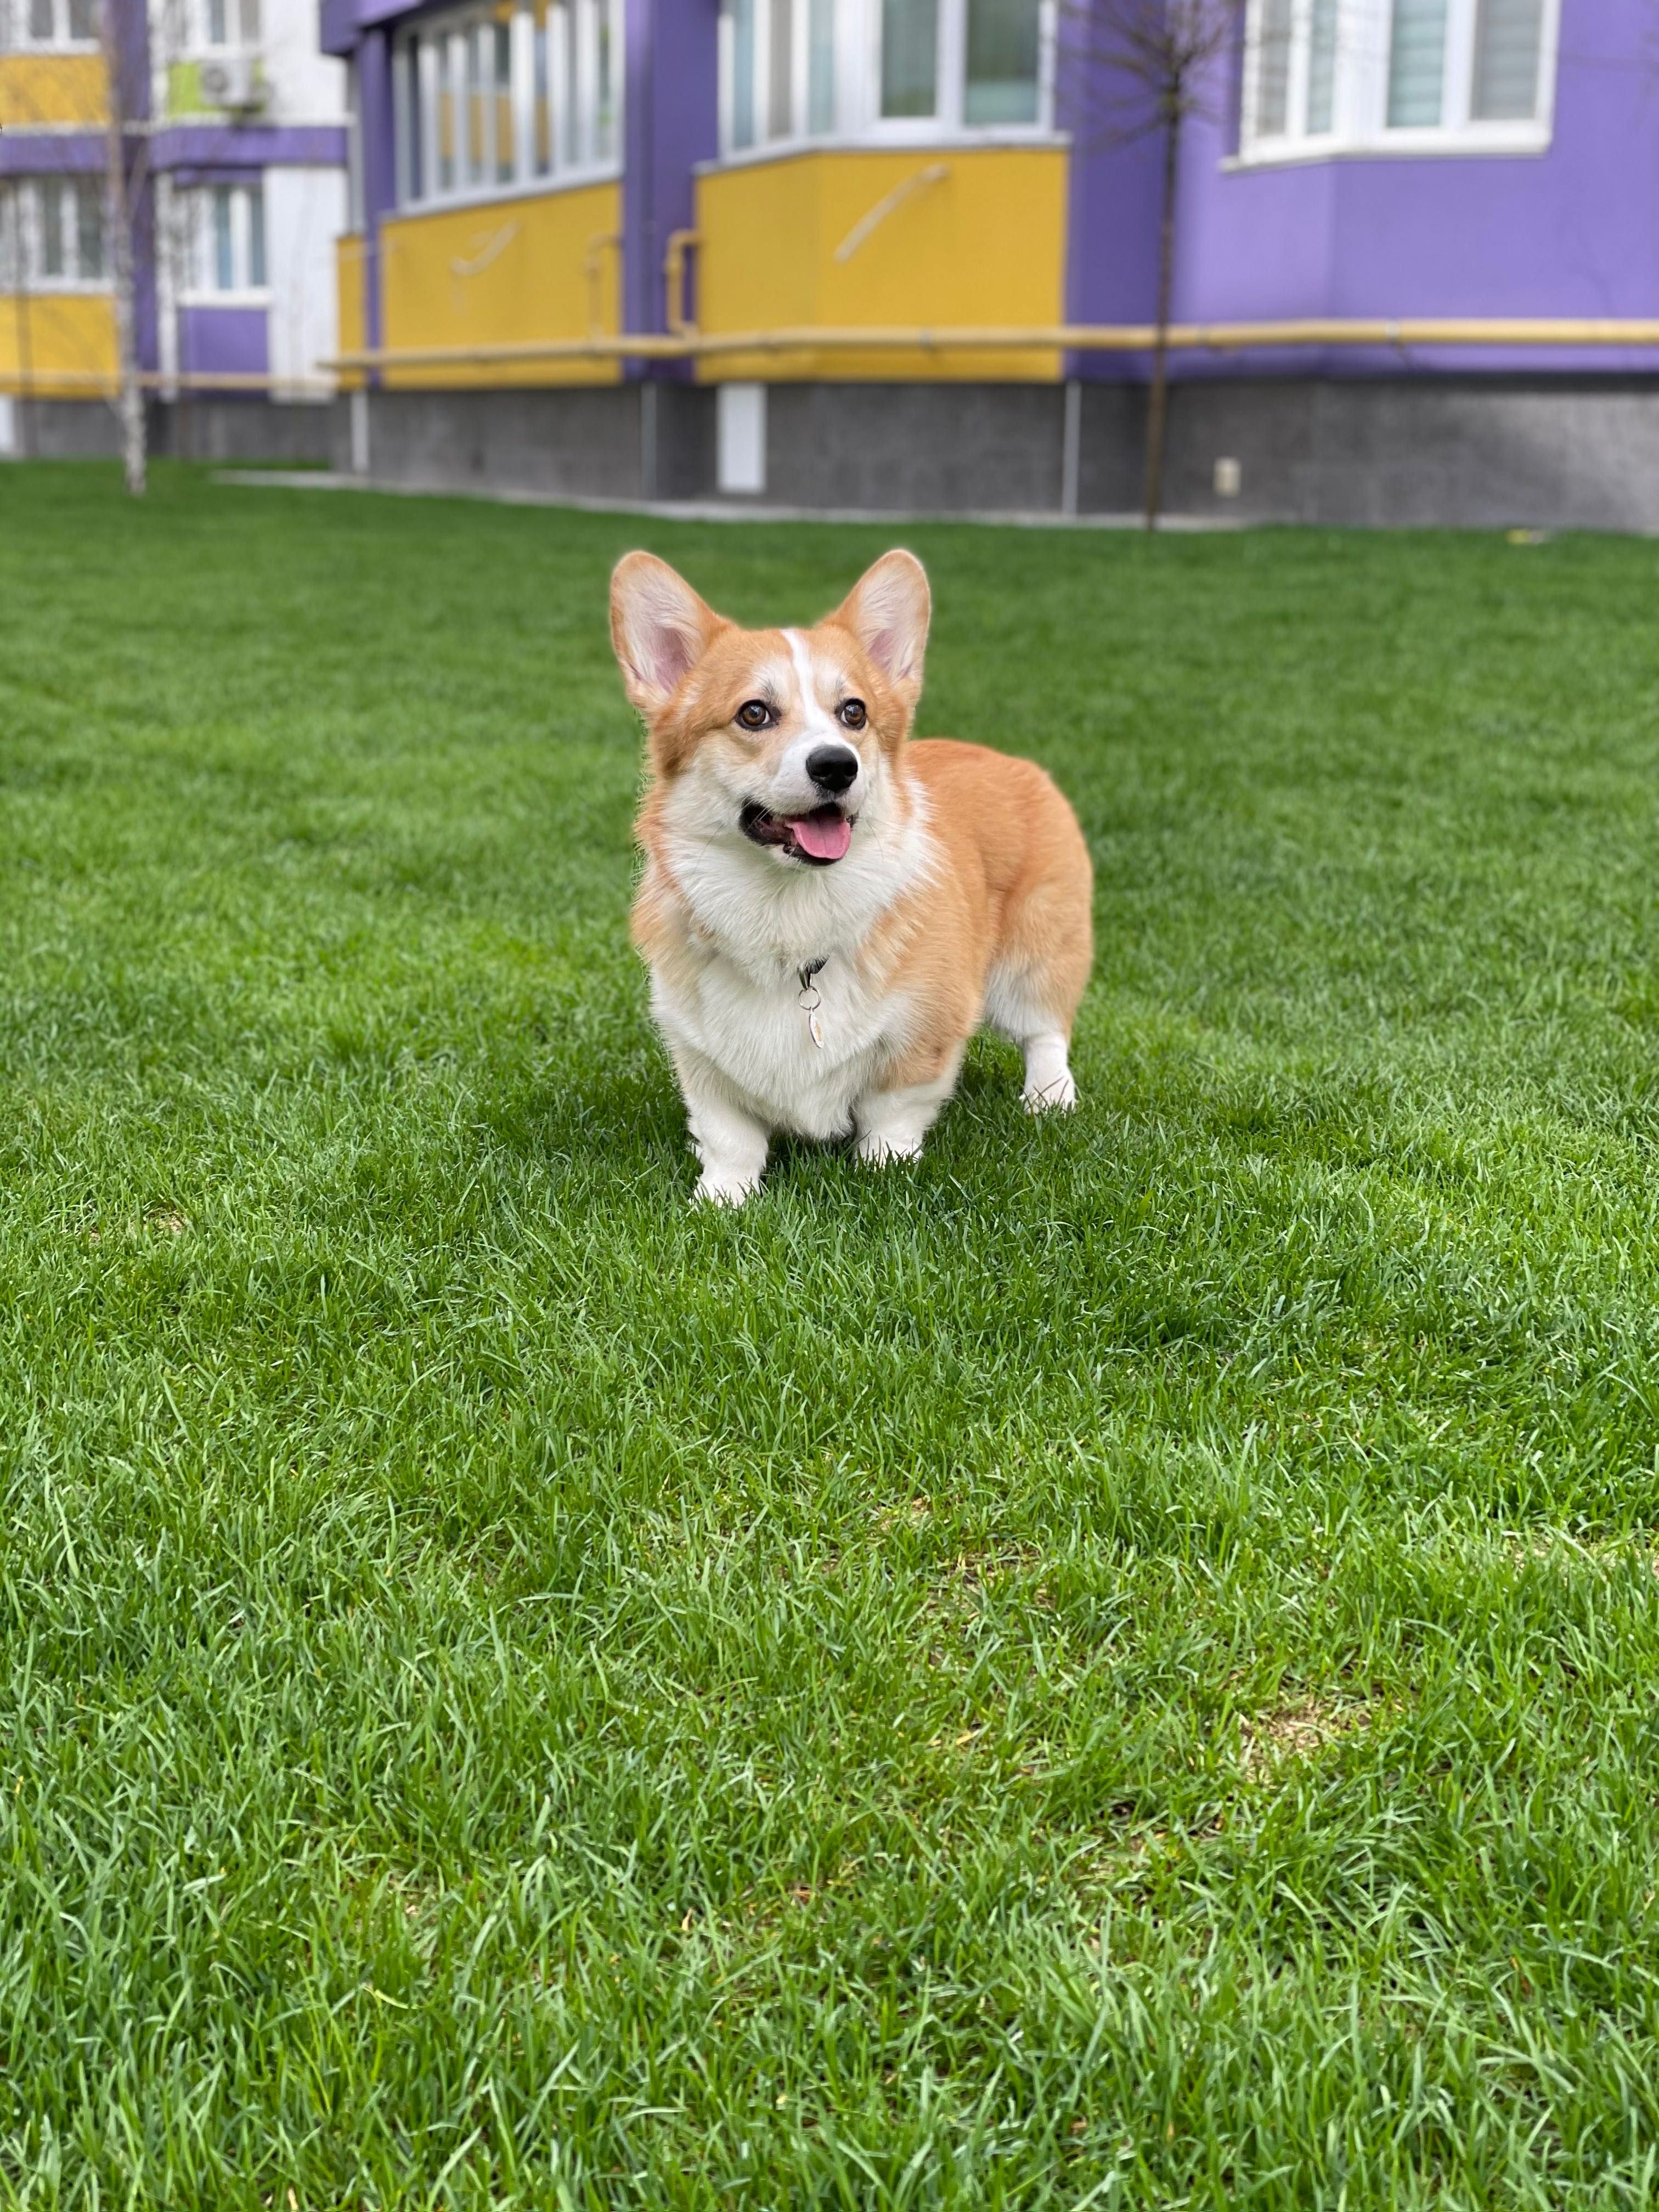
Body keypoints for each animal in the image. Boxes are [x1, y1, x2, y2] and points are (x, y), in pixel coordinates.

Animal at [606, 553, 1092, 1212]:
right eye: (753, 713)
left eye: (854, 712)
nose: (837, 765)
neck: (787, 909)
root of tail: (1010, 759)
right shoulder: (699, 1051)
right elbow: (728, 1132)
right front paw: (722, 1196)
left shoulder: (922, 1032)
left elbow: (894, 1110)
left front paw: (884, 1167)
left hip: (1034, 955)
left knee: (1045, 1029)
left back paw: (1049, 1096)